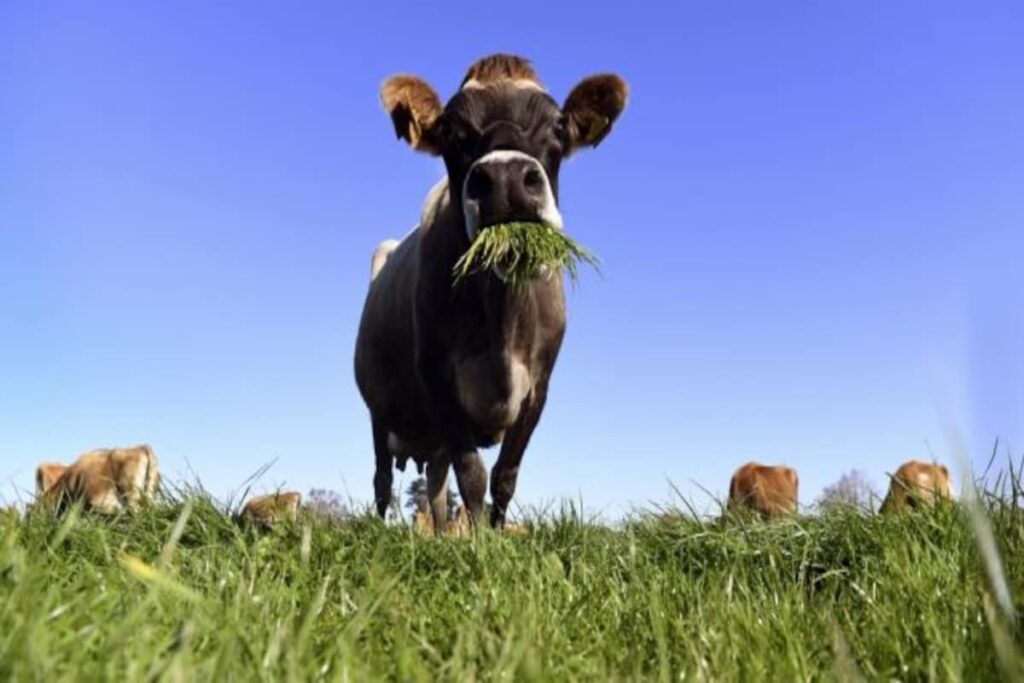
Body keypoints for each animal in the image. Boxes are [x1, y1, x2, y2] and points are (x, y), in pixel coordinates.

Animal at [354, 54, 628, 532]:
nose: (505, 180)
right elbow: (473, 474)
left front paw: (497, 535)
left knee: (436, 486)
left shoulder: (538, 387)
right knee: (382, 479)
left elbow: (505, 475)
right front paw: (481, 539)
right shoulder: (437, 378)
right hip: (378, 410)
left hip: (431, 438)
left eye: (558, 125)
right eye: (451, 130)